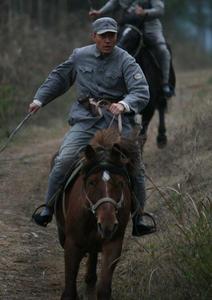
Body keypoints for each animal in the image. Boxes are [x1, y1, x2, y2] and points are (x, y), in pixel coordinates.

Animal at [55, 128, 140, 300]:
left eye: (120, 183)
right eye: (91, 182)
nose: (108, 224)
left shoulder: (113, 243)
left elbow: (104, 289)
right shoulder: (72, 243)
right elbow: (70, 289)